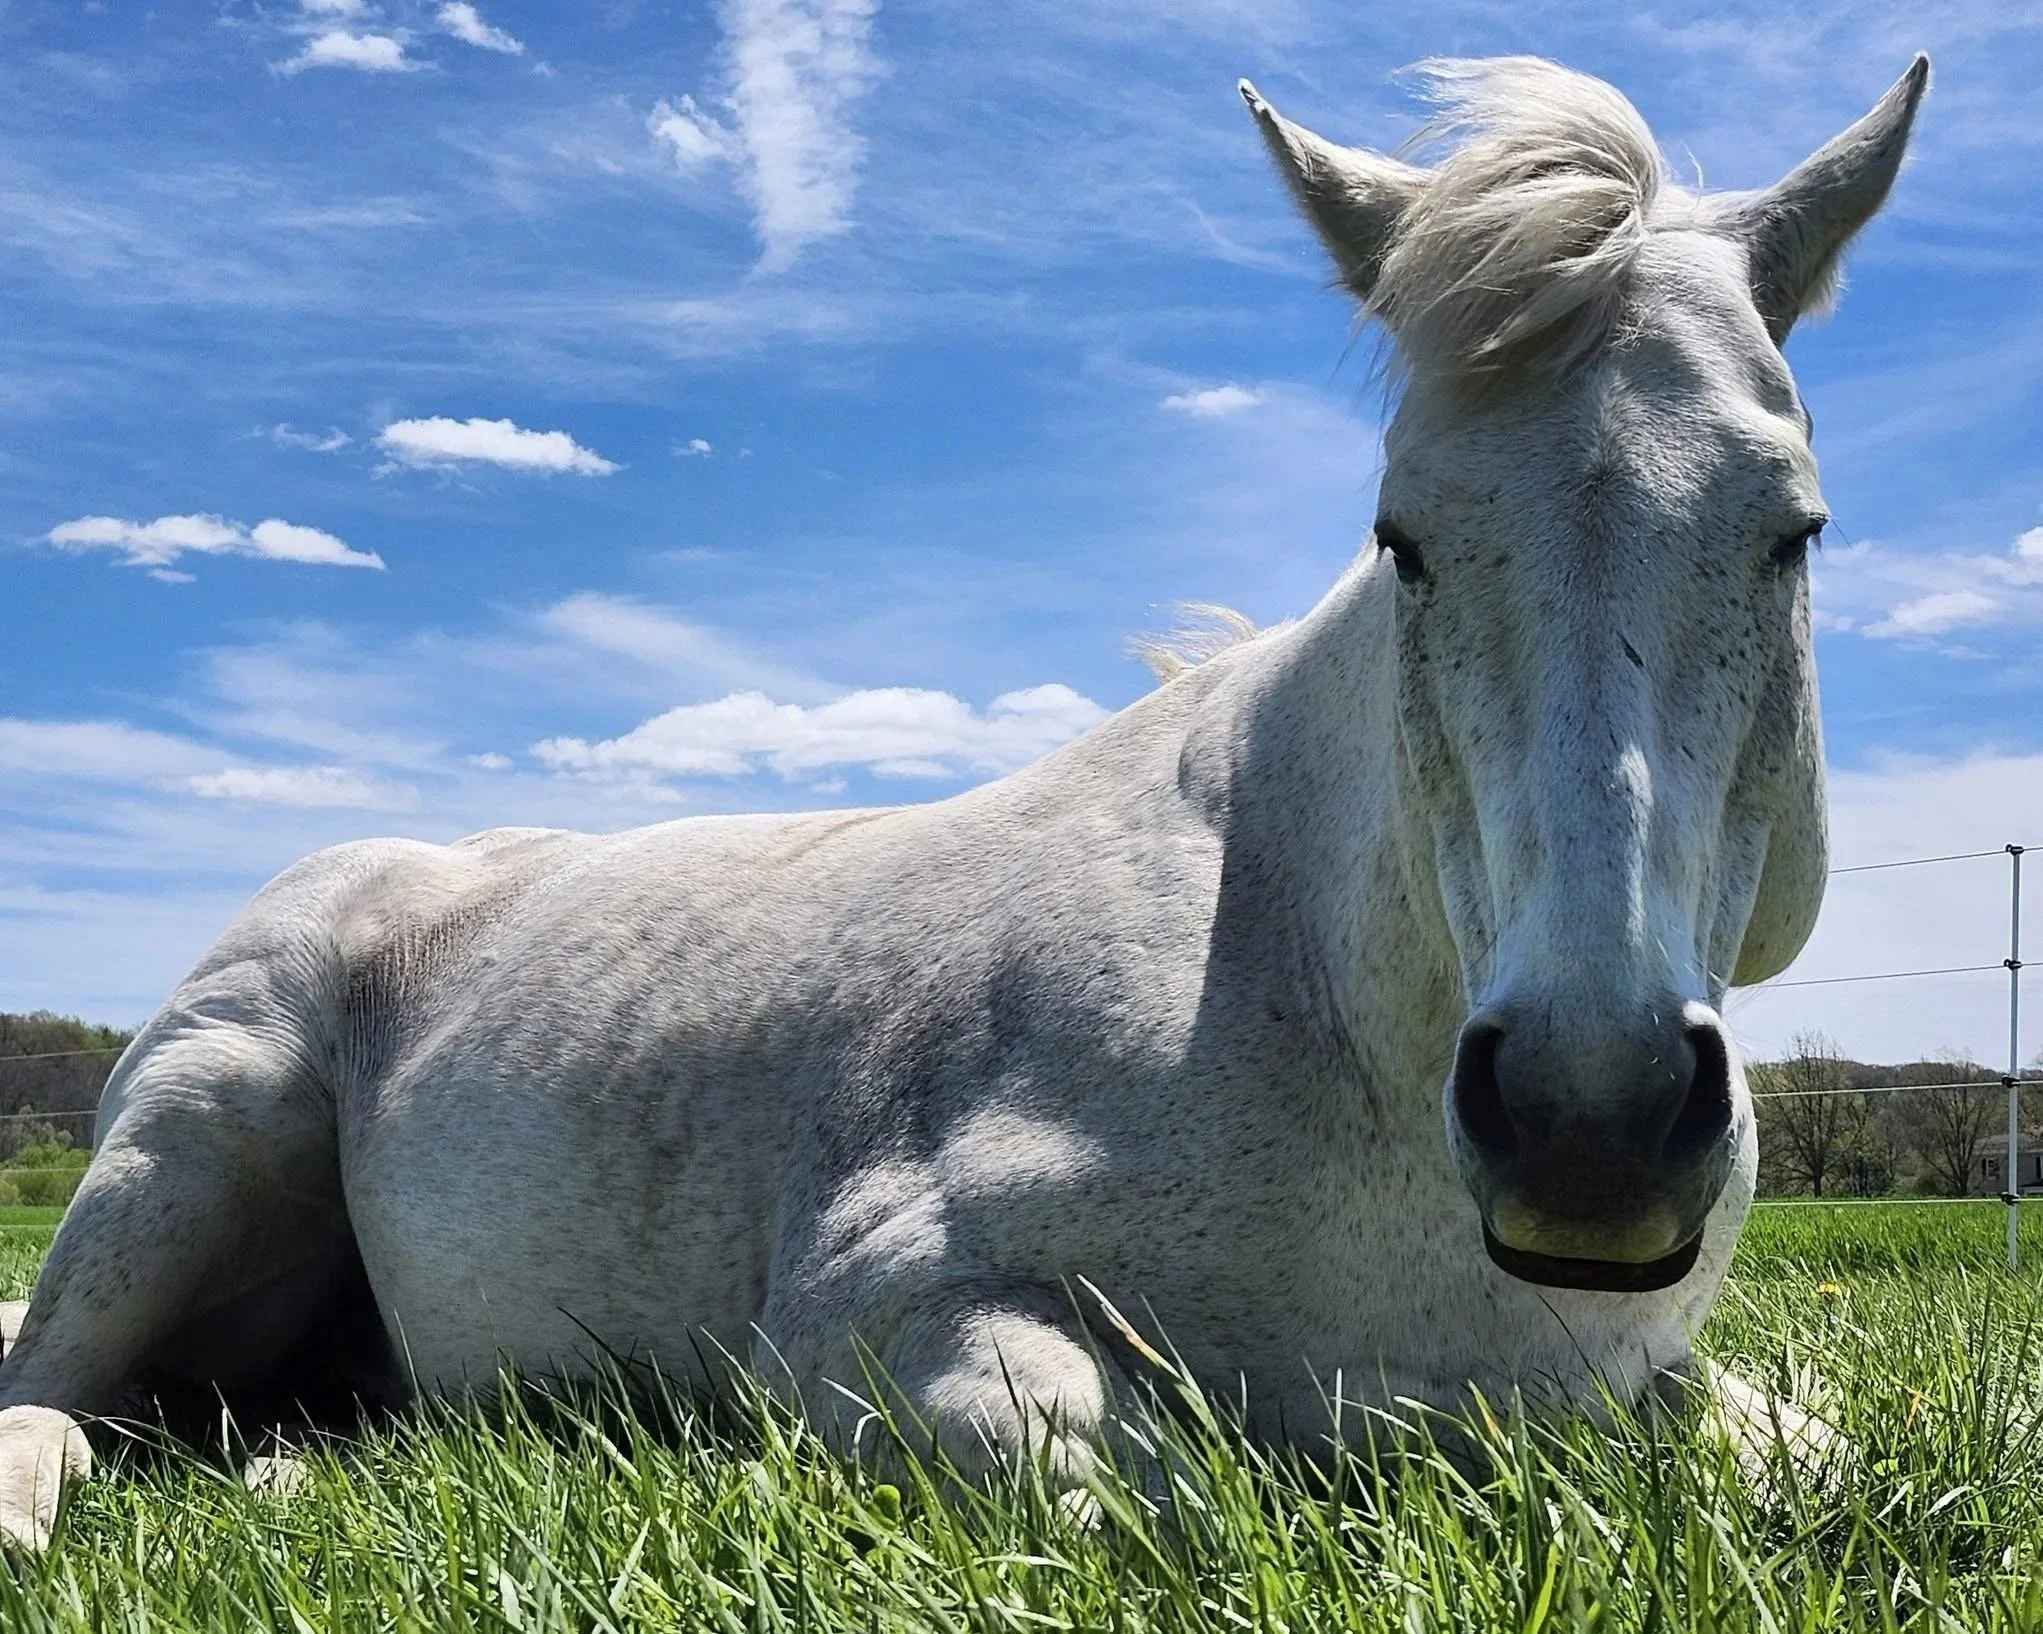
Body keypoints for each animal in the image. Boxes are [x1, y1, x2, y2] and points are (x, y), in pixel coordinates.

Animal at [0, 52, 1927, 1548]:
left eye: (1790, 527)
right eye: (1403, 539)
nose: (1586, 1123)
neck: (1310, 1007)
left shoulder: (1651, 1378)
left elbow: (1814, 1457)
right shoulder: (871, 1314)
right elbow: (1152, 1484)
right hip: (198, 1133)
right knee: (53, 1397)